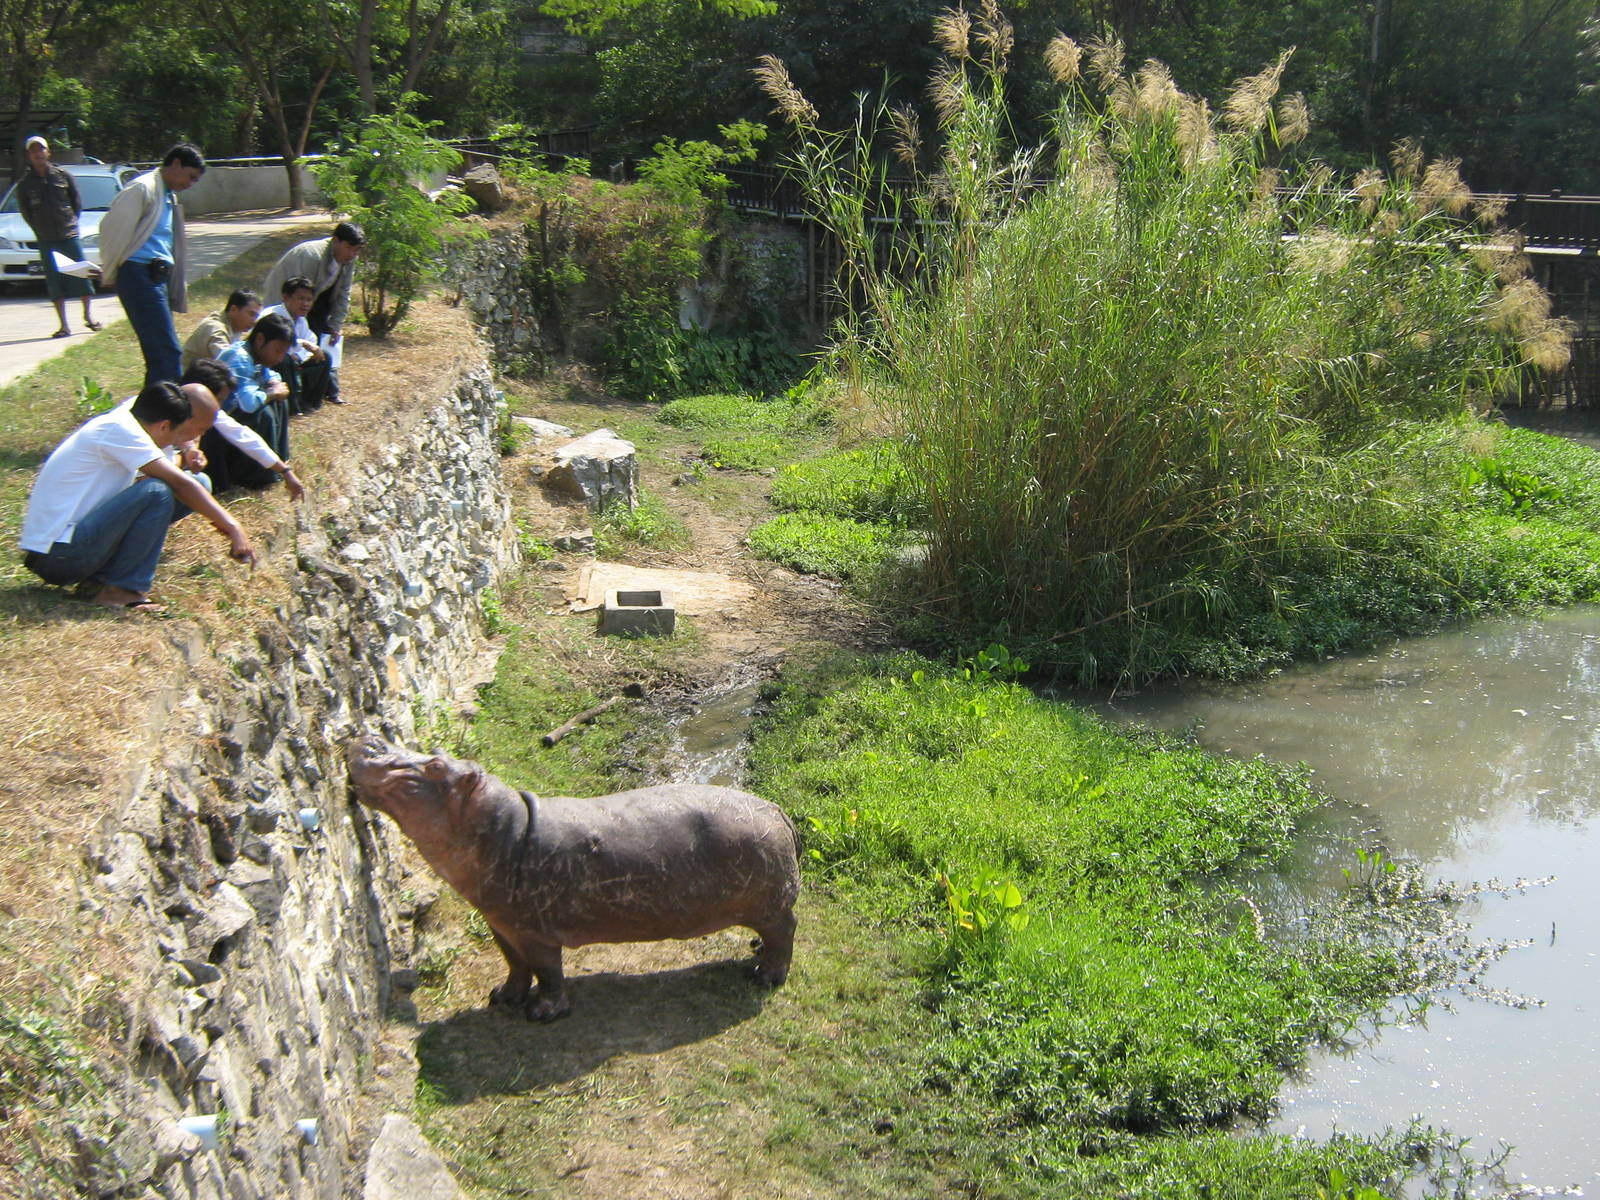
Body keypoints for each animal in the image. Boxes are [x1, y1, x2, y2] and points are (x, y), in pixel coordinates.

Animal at [346, 736, 799, 1021]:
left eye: (436, 766)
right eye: (436, 752)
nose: (370, 741)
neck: (502, 828)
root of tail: (777, 810)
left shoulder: (536, 931)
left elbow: (547, 971)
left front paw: (541, 1014)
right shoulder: (501, 924)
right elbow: (513, 964)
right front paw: (501, 998)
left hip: (771, 904)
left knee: (786, 931)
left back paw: (764, 976)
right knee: (774, 934)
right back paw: (756, 953)